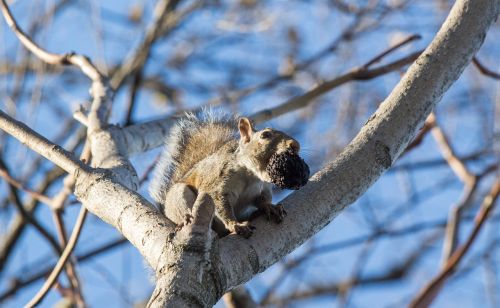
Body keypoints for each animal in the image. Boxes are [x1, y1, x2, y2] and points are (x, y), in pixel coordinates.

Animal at [148, 110, 308, 238]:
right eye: (265, 135)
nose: (295, 145)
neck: (252, 176)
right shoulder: (218, 183)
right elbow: (221, 205)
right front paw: (235, 225)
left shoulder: (263, 188)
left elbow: (263, 200)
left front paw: (270, 207)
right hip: (178, 196)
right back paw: (184, 220)